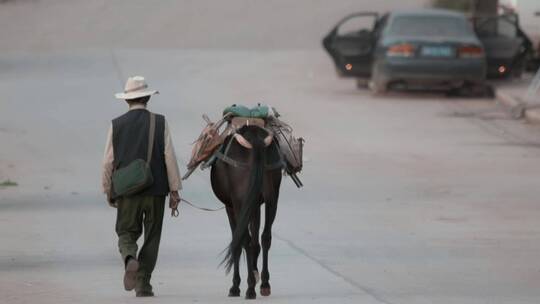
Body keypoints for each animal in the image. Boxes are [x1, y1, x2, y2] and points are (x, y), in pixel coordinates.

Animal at [210, 125, 282, 300]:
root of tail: (255, 137)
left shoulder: (231, 206)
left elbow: (237, 241)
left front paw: (236, 286)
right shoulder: (255, 204)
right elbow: (256, 240)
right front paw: (255, 275)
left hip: (239, 202)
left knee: (244, 240)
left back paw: (249, 288)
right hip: (272, 197)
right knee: (265, 237)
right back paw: (264, 284)